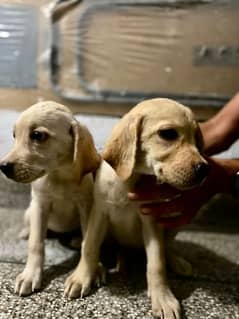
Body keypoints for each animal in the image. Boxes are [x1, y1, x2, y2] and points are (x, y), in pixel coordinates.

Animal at [0, 102, 100, 298]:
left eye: (37, 135)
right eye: (14, 135)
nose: (3, 167)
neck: (58, 175)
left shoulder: (86, 206)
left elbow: (88, 243)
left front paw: (89, 273)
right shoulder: (40, 205)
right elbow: (36, 244)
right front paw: (30, 275)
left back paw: (75, 238)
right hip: (29, 211)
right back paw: (25, 232)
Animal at [64, 98, 208, 319]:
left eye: (196, 138)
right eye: (168, 134)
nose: (205, 169)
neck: (130, 181)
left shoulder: (152, 221)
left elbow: (157, 262)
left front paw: (163, 298)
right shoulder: (99, 214)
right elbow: (89, 247)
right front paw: (81, 278)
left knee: (167, 246)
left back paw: (177, 261)